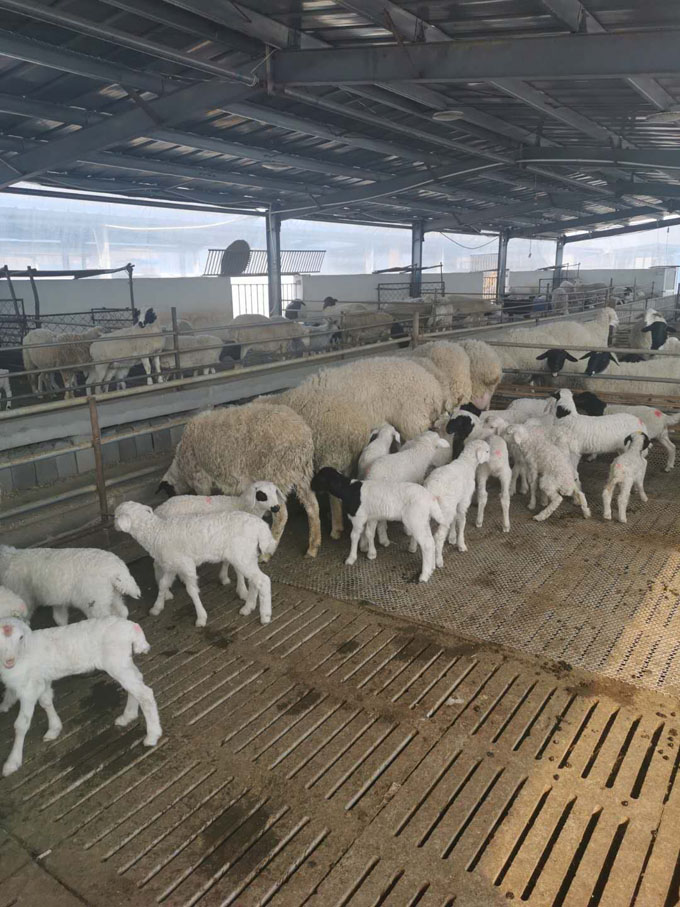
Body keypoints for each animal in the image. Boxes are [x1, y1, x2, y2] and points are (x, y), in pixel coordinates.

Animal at [0, 545, 140, 627]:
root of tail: (116, 569)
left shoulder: (24, 598)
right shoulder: (57, 600)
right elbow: (59, 618)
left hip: (94, 601)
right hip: (110, 594)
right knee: (122, 611)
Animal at [0, 616, 161, 776]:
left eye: (20, 637)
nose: (10, 661)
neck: (23, 654)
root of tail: (132, 627)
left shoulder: (28, 689)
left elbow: (21, 724)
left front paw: (11, 763)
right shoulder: (41, 680)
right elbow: (46, 702)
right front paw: (54, 729)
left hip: (116, 662)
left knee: (145, 694)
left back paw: (152, 735)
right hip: (122, 662)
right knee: (136, 683)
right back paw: (128, 716)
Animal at [114, 501, 276, 626]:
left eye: (115, 516)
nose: (114, 526)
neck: (155, 533)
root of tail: (260, 526)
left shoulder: (186, 565)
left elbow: (191, 591)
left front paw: (201, 618)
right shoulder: (172, 565)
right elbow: (163, 584)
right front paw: (157, 607)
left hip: (241, 555)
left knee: (263, 580)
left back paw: (265, 616)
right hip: (248, 555)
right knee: (255, 581)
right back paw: (248, 607)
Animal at [158, 402, 320, 558]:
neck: (180, 467)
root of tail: (302, 435)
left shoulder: (200, 478)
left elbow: (204, 497)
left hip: (275, 474)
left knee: (281, 516)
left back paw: (267, 554)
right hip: (302, 475)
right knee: (312, 507)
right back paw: (313, 547)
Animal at [310, 467, 443, 582]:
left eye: (320, 477)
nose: (310, 486)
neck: (348, 490)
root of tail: (430, 498)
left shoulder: (358, 518)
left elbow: (354, 536)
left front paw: (351, 558)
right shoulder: (371, 518)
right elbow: (369, 533)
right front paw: (371, 553)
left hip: (415, 520)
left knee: (427, 545)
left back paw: (424, 575)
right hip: (423, 521)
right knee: (431, 542)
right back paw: (431, 568)